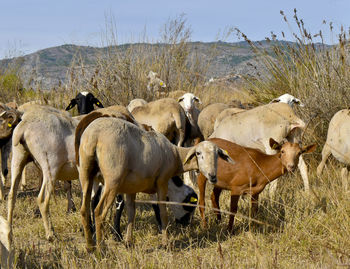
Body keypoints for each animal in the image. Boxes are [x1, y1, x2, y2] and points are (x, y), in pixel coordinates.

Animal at [77, 117, 234, 249]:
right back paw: (101, 249)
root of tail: (94, 136)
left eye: (217, 155)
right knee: (98, 212)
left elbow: (131, 213)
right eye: (198, 154)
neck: (176, 155)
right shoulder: (162, 182)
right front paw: (166, 243)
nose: (213, 176)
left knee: (84, 210)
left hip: (85, 173)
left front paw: (128, 242)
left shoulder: (131, 188)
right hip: (112, 180)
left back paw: (90, 247)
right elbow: (163, 212)